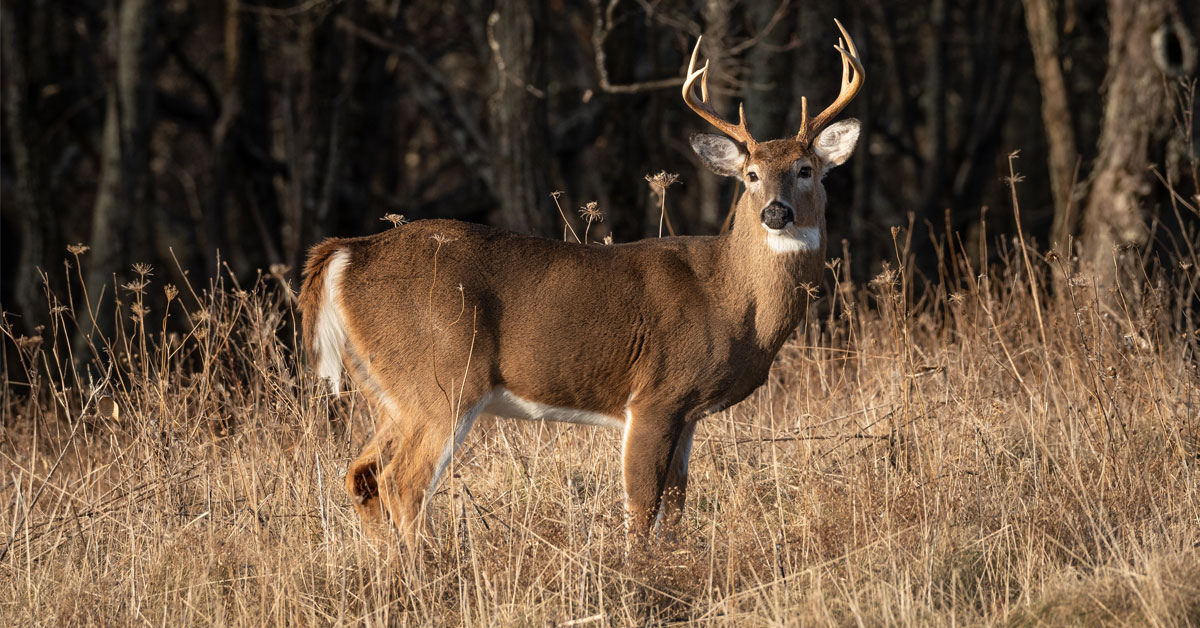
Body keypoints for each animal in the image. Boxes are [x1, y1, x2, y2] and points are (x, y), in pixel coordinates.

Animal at [300, 22, 864, 547]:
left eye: (805, 169)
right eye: (750, 174)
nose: (776, 212)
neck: (728, 298)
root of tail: (347, 252)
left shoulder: (688, 412)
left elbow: (676, 506)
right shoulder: (655, 395)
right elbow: (641, 506)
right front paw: (638, 575)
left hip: (387, 389)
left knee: (361, 476)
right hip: (440, 376)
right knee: (404, 482)